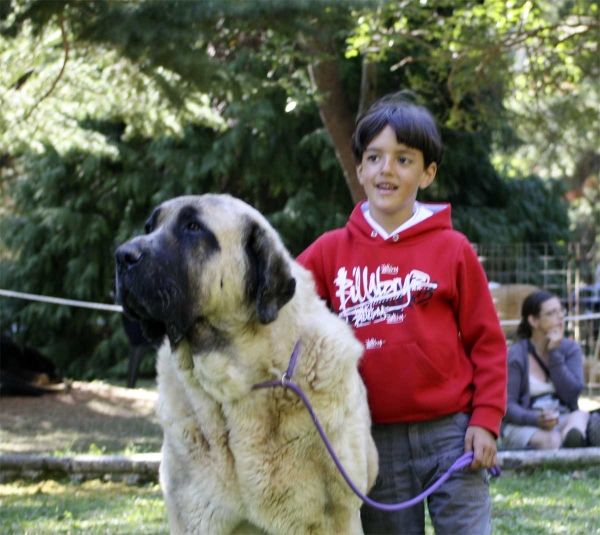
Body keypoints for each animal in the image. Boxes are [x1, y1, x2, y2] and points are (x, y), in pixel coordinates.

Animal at [113, 195, 376, 532]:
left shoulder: (336, 516)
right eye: (149, 227)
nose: (122, 255)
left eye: (193, 227)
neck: (237, 383)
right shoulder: (193, 516)